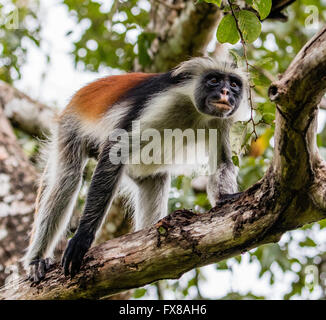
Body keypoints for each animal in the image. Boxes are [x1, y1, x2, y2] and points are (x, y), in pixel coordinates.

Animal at [24, 56, 248, 282]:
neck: (194, 110)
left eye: (234, 84)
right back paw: (37, 259)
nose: (226, 92)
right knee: (68, 180)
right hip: (70, 126)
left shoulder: (224, 120)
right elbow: (114, 153)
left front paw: (226, 198)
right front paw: (82, 237)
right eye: (214, 80)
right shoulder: (161, 102)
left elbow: (223, 162)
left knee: (155, 178)